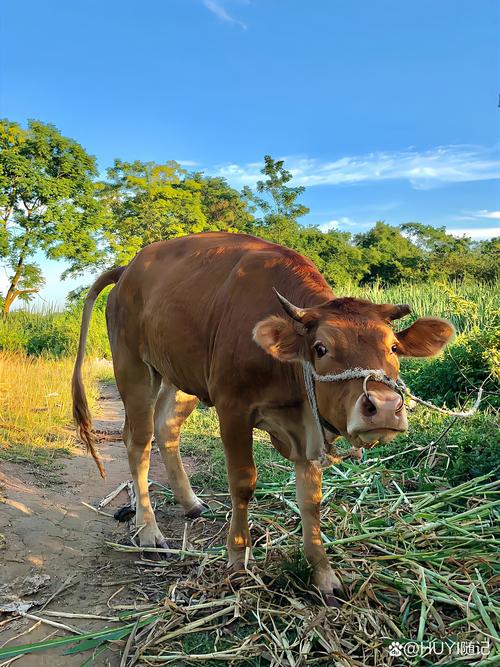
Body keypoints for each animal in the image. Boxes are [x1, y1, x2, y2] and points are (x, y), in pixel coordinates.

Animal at [73, 234, 454, 604]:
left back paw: (189, 503)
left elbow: (311, 499)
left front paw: (324, 575)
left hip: (180, 376)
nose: (385, 406)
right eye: (321, 348)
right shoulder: (233, 409)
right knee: (138, 440)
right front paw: (238, 560)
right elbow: (243, 484)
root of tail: (128, 270)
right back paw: (149, 531)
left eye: (393, 348)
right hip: (134, 367)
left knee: (166, 428)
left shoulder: (308, 429)